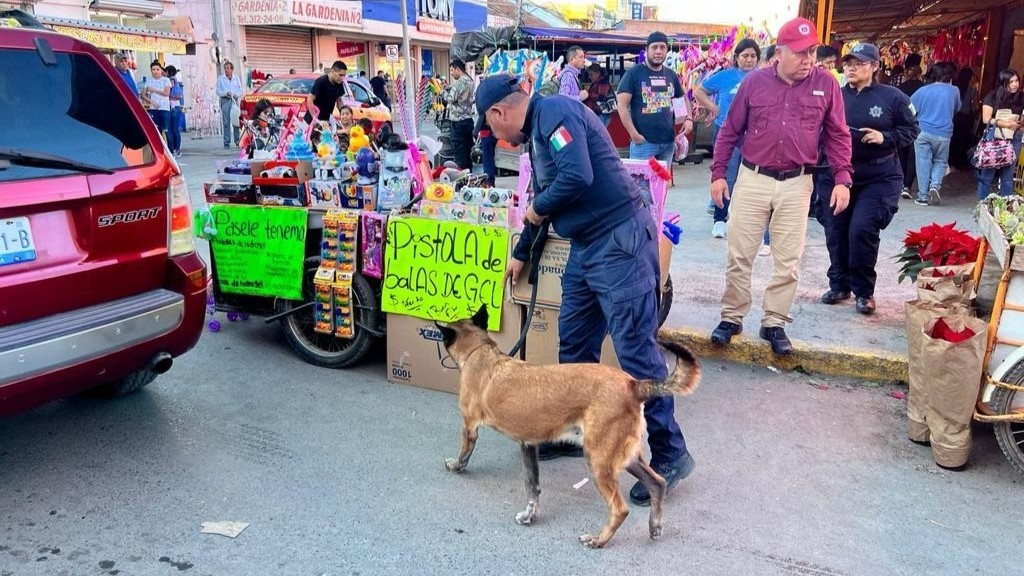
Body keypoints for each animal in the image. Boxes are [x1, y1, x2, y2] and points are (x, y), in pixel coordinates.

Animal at [436, 303, 700, 545]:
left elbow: (464, 453)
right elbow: (532, 486)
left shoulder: (469, 427)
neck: (480, 351)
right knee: (657, 483)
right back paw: (654, 525)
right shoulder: (528, 445)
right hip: (624, 456)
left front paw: (456, 466)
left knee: (620, 509)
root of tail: (633, 385)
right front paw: (530, 515)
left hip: (598, 461)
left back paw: (599, 539)